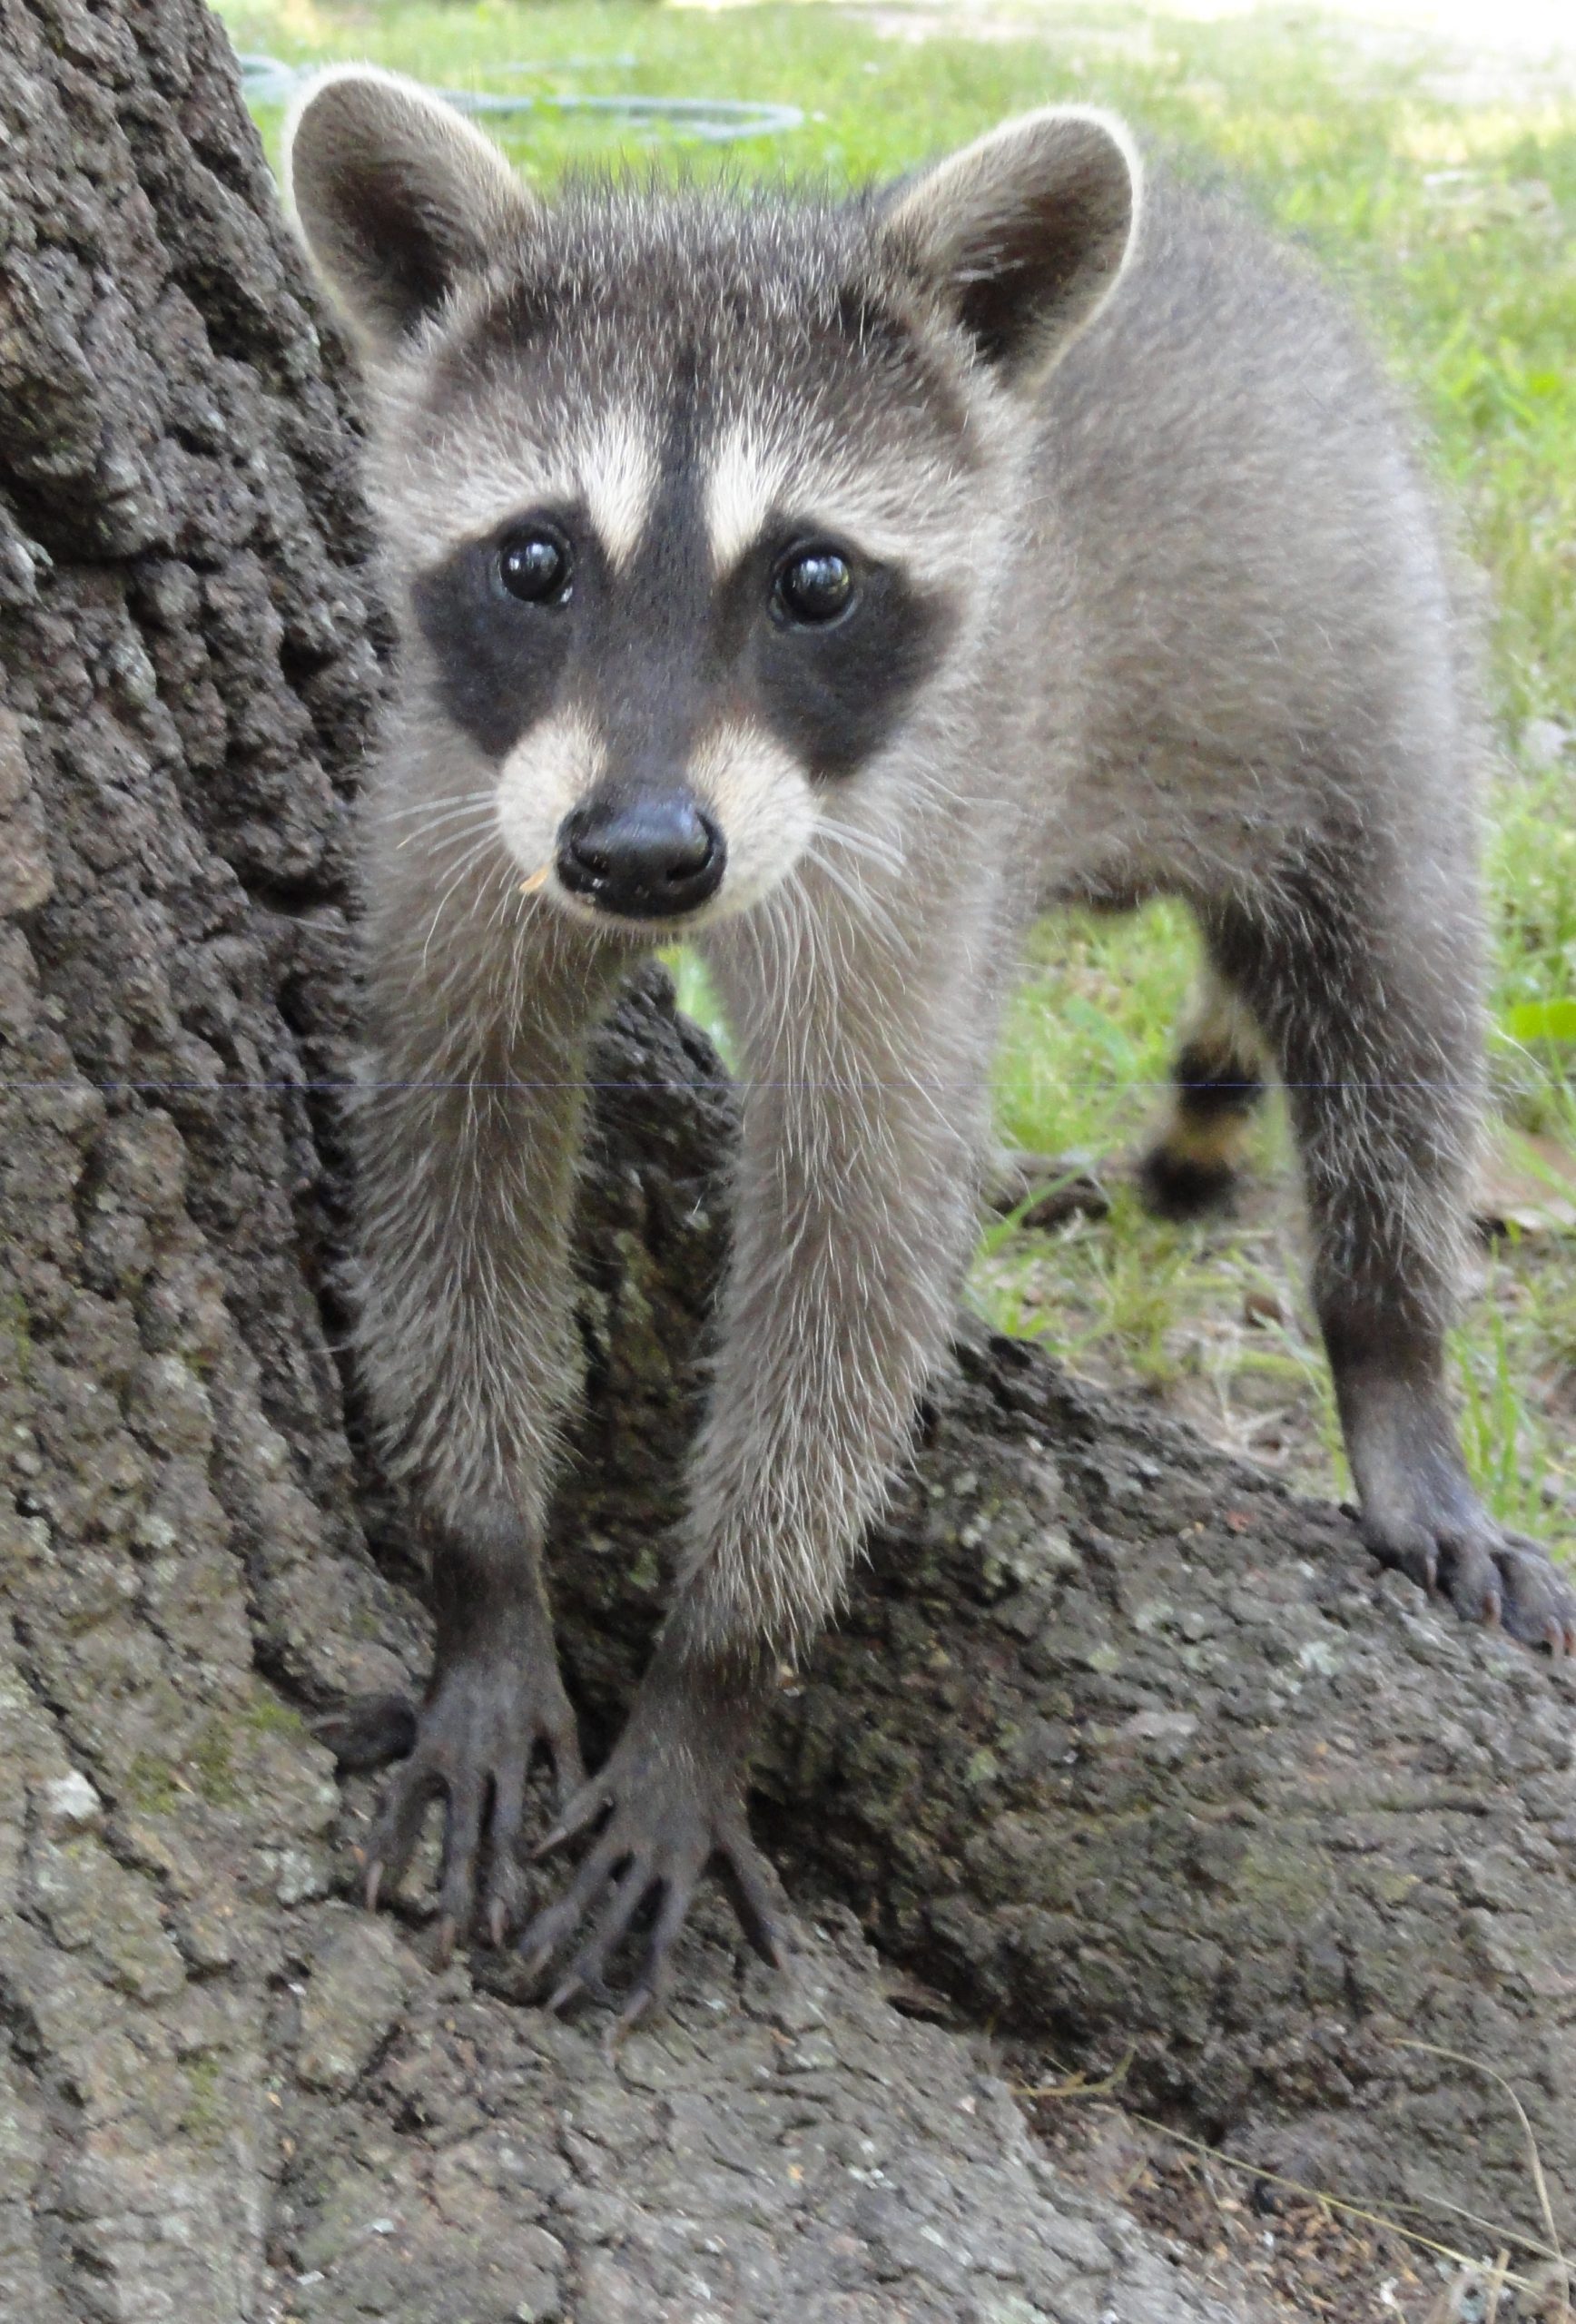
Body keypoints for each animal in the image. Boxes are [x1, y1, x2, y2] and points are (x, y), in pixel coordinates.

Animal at [284, 68, 1576, 2020]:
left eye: (813, 577)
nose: (643, 856)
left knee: (1394, 998)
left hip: (1365, 658)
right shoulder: (458, 807)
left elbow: (858, 1242)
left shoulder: (912, 864)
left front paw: (716, 1676)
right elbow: (457, 1152)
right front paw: (486, 1584)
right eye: (535, 560)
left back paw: (1390, 1354)